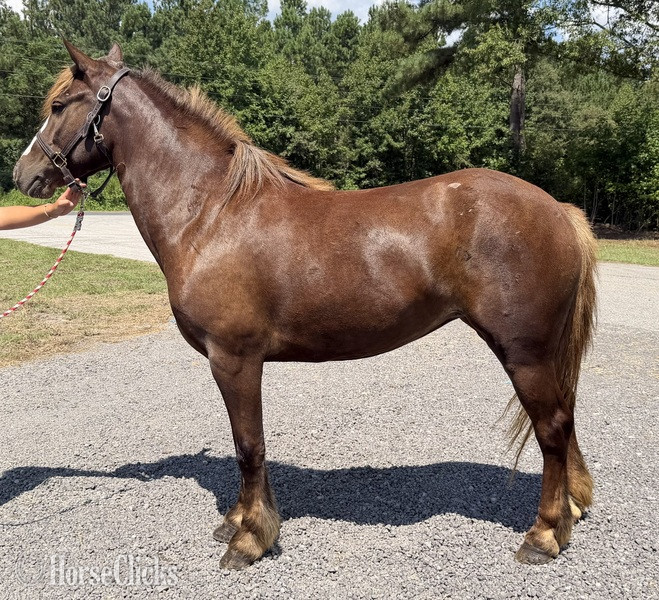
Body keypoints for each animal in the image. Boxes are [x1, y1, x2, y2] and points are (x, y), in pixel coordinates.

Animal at [13, 41, 597, 569]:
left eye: (60, 104)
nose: (23, 175)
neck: (210, 212)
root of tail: (559, 211)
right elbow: (248, 448)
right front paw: (240, 520)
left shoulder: (234, 359)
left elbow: (249, 446)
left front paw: (249, 539)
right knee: (563, 424)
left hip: (525, 353)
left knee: (552, 429)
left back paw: (544, 535)